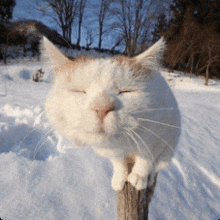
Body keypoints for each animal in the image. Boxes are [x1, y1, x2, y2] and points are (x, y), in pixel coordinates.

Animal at [42, 37, 180, 191]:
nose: (101, 107)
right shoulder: (113, 152)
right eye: (79, 91)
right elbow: (119, 163)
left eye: (126, 91)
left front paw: (139, 176)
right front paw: (120, 178)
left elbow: (146, 160)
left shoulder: (159, 138)